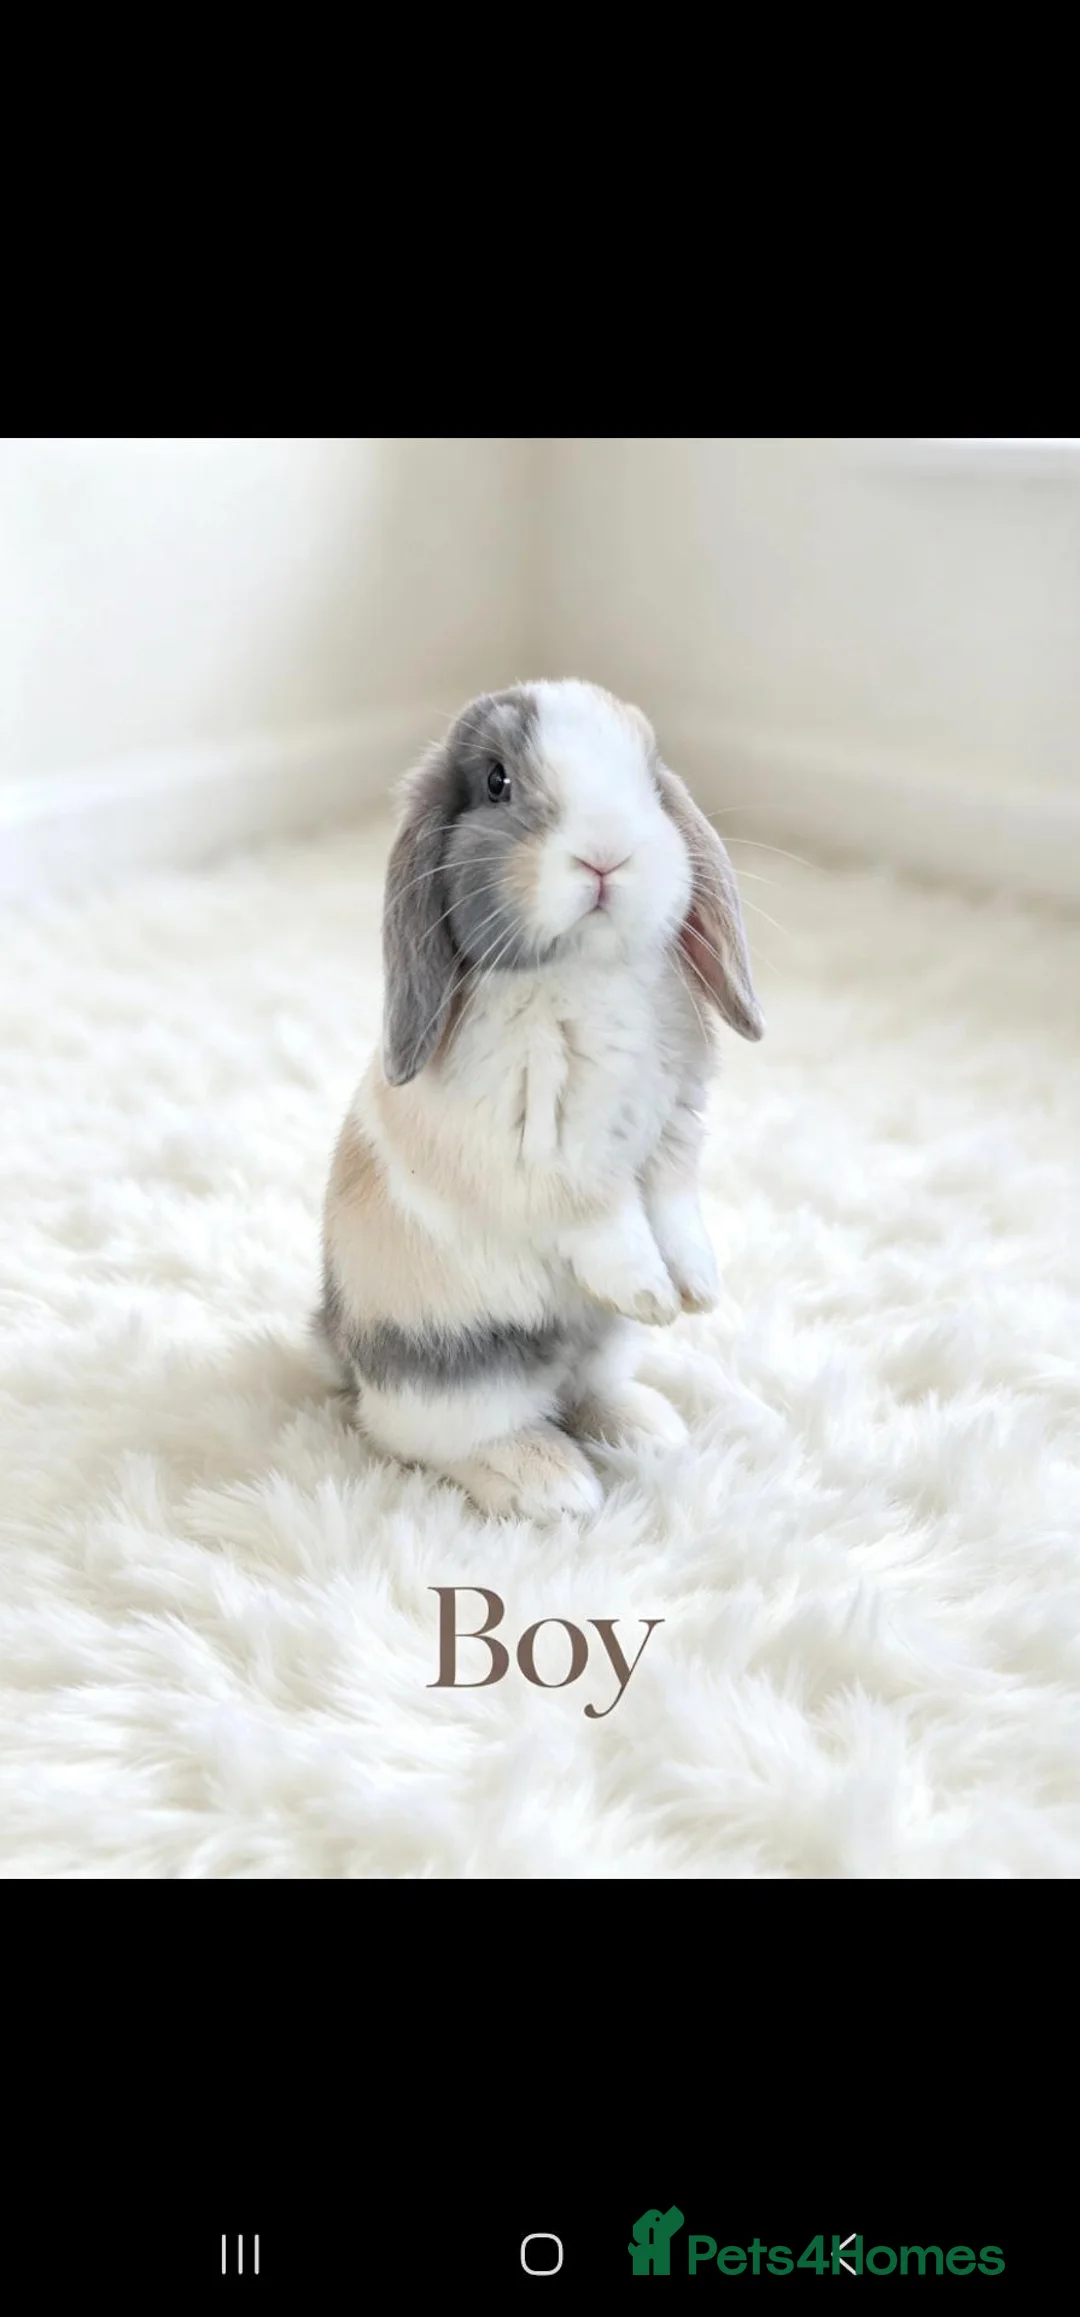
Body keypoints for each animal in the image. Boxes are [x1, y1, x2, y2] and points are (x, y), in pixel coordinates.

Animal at [318, 679, 764, 1521]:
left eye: (650, 775)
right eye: (498, 782)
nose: (606, 854)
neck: (589, 970)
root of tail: (339, 1344)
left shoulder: (672, 1140)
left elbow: (675, 1211)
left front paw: (697, 1289)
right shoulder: (551, 1161)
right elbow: (608, 1223)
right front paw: (652, 1292)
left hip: (601, 1342)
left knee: (583, 1392)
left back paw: (648, 1428)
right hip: (457, 1362)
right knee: (431, 1434)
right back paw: (552, 1482)